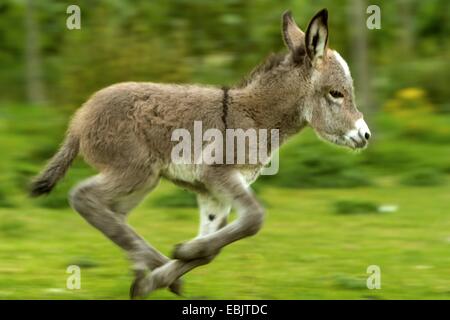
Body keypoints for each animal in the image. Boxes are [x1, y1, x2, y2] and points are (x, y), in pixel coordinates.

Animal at [30, 10, 370, 300]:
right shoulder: (217, 174)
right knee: (83, 197)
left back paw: (146, 268)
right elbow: (253, 220)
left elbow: (211, 247)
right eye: (336, 94)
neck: (257, 115)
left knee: (112, 212)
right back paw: (146, 263)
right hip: (137, 171)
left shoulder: (213, 194)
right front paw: (173, 263)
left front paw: (169, 268)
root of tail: (79, 120)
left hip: (138, 181)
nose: (365, 136)